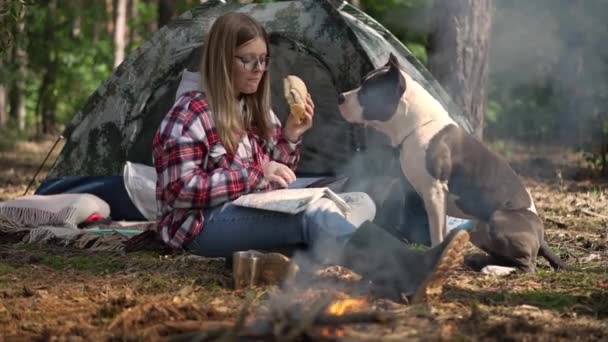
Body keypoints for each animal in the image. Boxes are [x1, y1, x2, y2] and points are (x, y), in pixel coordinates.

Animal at [340, 53, 568, 272]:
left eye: (367, 91)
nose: (341, 97)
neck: (417, 123)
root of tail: (541, 235)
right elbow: (440, 229)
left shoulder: (434, 192)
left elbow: (436, 232)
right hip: (478, 230)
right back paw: (478, 260)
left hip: (498, 217)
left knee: (527, 265)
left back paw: (493, 269)